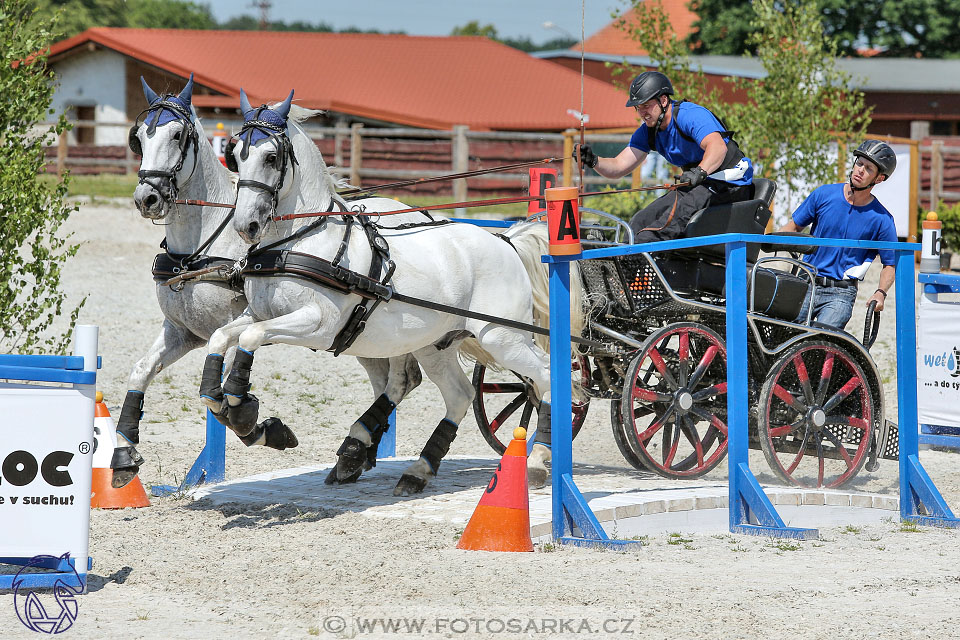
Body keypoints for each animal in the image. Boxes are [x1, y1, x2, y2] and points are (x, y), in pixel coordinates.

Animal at [123, 75, 428, 484]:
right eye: (139, 137)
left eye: (177, 135)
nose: (148, 198)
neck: (201, 245)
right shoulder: (182, 332)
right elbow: (144, 372)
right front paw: (124, 450)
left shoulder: (245, 321)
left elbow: (222, 394)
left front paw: (260, 427)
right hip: (366, 334)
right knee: (389, 379)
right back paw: (360, 453)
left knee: (402, 378)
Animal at [202, 90, 572, 492]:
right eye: (236, 156)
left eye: (271, 157)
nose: (246, 225)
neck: (296, 242)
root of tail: (506, 241)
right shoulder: (261, 314)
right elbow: (222, 337)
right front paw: (231, 406)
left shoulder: (318, 324)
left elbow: (250, 338)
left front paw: (243, 412)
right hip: (435, 344)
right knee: (460, 394)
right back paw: (417, 470)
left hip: (504, 338)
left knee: (547, 378)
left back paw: (537, 461)